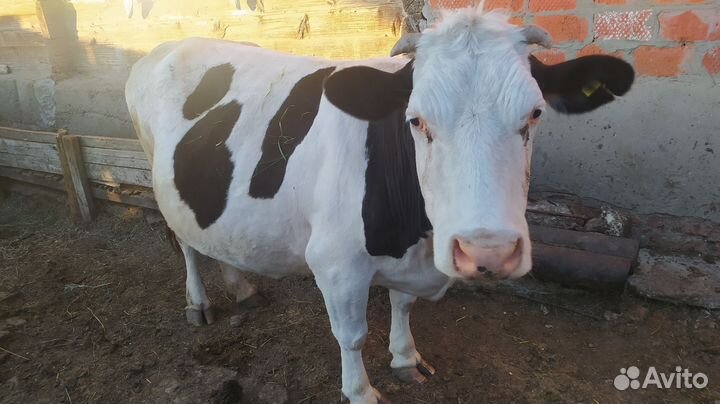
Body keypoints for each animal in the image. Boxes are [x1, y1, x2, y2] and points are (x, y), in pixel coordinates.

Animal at [125, 8, 633, 403]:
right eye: (416, 119)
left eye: (535, 113)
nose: (487, 252)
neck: (415, 235)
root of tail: (164, 48)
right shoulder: (334, 263)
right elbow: (351, 335)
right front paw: (360, 391)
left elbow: (403, 305)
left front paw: (406, 358)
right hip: (156, 171)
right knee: (184, 242)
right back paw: (198, 303)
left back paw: (241, 287)